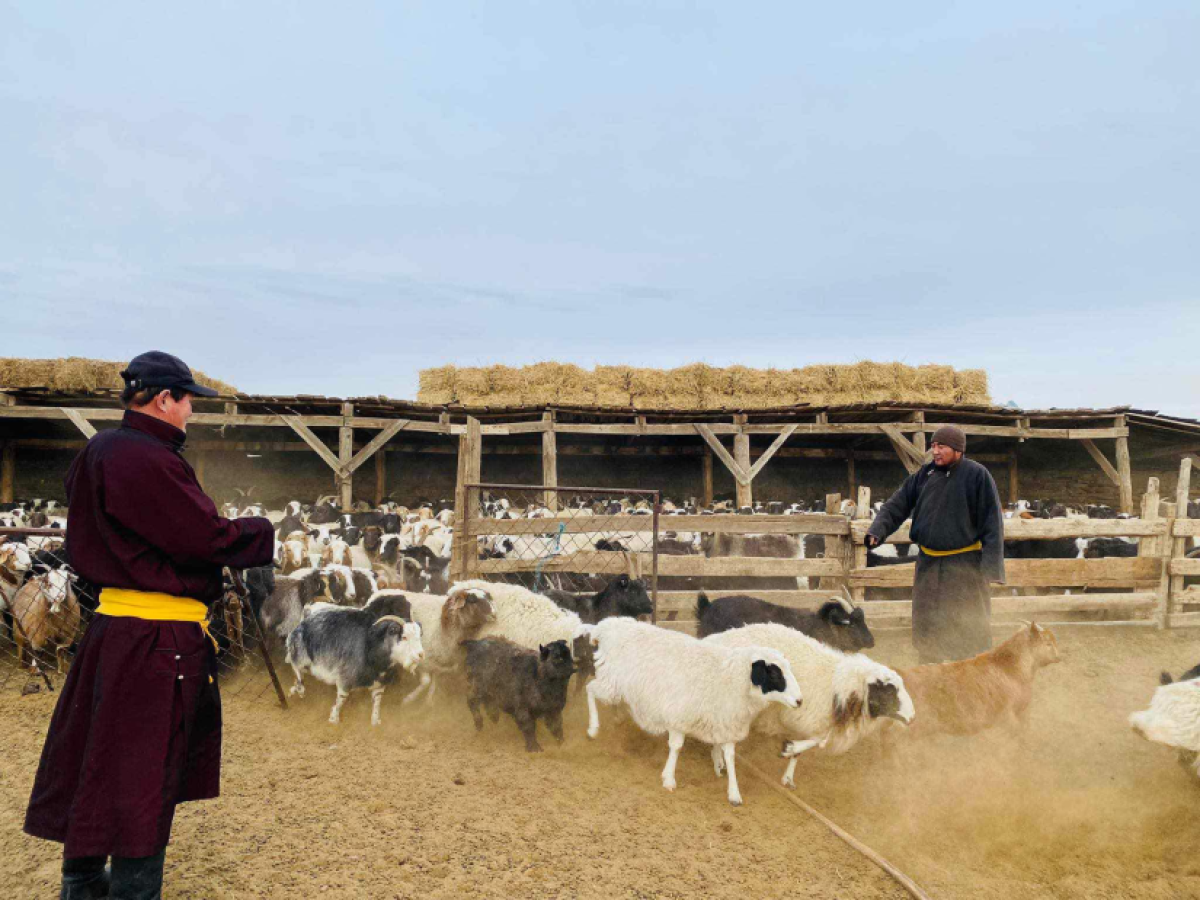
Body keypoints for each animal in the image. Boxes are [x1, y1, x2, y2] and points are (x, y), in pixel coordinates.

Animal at [585, 619, 801, 806]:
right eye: (774, 674)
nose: (800, 701)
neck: (729, 678)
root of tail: (607, 626)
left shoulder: (727, 723)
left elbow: (730, 756)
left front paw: (734, 793)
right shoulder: (678, 717)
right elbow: (676, 747)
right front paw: (669, 778)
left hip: (617, 687)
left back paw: (617, 717)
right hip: (611, 683)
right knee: (590, 689)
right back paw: (593, 729)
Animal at [705, 619, 912, 787]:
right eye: (888, 690)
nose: (912, 716)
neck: (839, 685)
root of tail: (713, 639)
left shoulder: (808, 722)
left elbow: (811, 744)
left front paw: (788, 772)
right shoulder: (801, 715)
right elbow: (819, 741)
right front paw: (789, 748)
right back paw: (718, 759)